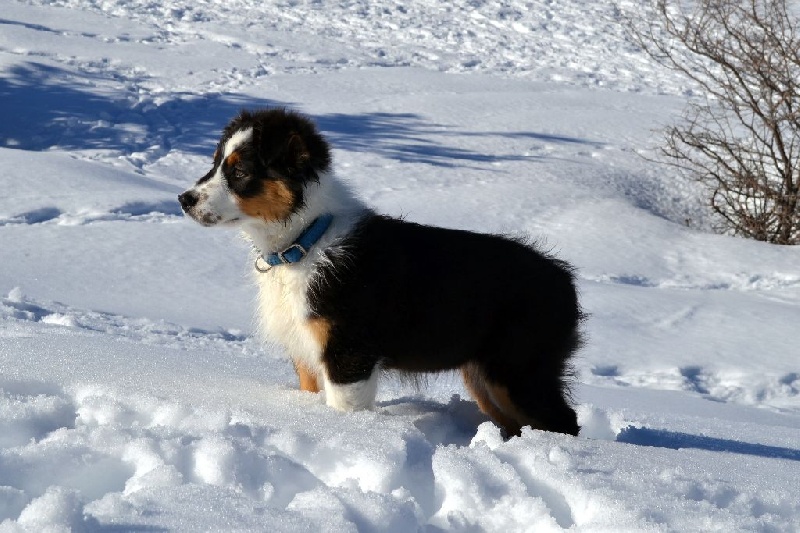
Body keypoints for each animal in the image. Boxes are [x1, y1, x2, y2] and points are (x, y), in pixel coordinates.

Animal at [178, 108, 584, 436]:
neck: (306, 241)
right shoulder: (306, 354)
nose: (184, 199)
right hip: (485, 375)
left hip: (520, 368)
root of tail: (564, 279)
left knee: (564, 422)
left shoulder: (348, 354)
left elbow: (343, 406)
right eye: (215, 164)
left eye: (240, 171)